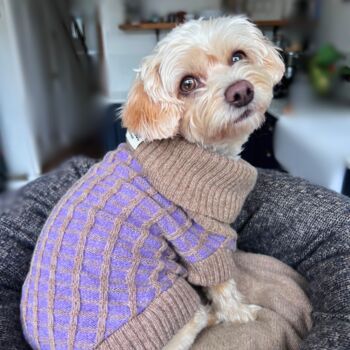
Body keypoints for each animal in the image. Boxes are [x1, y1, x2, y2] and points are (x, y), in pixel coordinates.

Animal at [121, 16, 286, 350]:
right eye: (187, 84)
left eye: (237, 56)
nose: (241, 91)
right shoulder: (204, 243)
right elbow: (223, 286)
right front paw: (241, 314)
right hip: (178, 304)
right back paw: (211, 315)